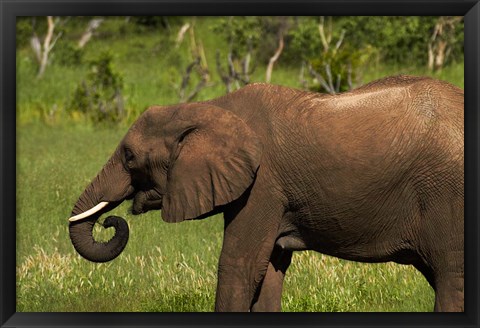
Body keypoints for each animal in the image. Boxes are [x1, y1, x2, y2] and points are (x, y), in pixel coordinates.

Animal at [65, 75, 464, 312]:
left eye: (130, 157)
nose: (110, 222)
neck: (211, 108)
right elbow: (269, 268)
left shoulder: (263, 184)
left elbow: (239, 265)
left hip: (448, 196)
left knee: (450, 275)